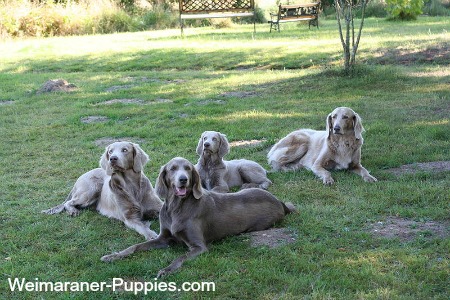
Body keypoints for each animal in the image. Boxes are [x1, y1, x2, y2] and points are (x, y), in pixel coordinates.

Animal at [100, 158, 294, 278]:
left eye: (187, 168)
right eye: (172, 169)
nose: (183, 180)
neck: (176, 207)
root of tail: (280, 202)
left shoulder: (199, 247)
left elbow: (180, 258)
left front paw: (166, 270)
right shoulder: (163, 238)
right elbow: (135, 246)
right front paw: (113, 256)